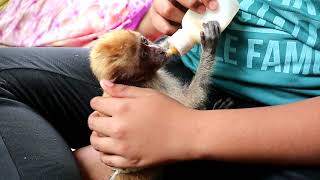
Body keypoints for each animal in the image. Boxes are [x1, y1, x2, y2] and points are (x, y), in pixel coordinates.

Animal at [89, 21, 231, 180]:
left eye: (145, 41)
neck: (137, 81)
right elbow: (189, 103)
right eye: (144, 55)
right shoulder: (152, 86)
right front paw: (208, 48)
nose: (160, 51)